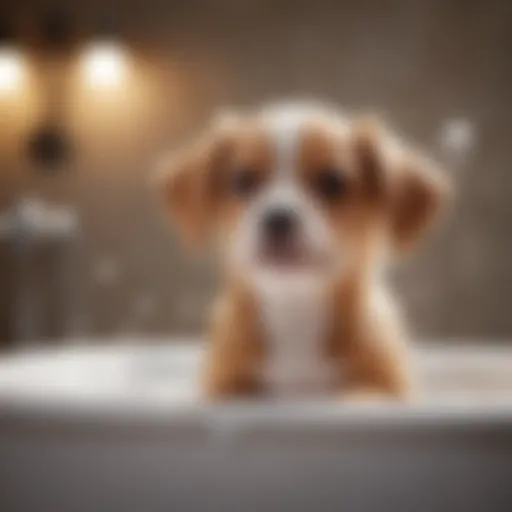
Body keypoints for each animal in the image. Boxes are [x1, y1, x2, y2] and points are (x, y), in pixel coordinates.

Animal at [155, 102, 448, 402]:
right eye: (242, 180)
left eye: (333, 182)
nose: (278, 218)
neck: (294, 309)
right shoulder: (222, 387)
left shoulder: (387, 386)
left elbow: (359, 396)